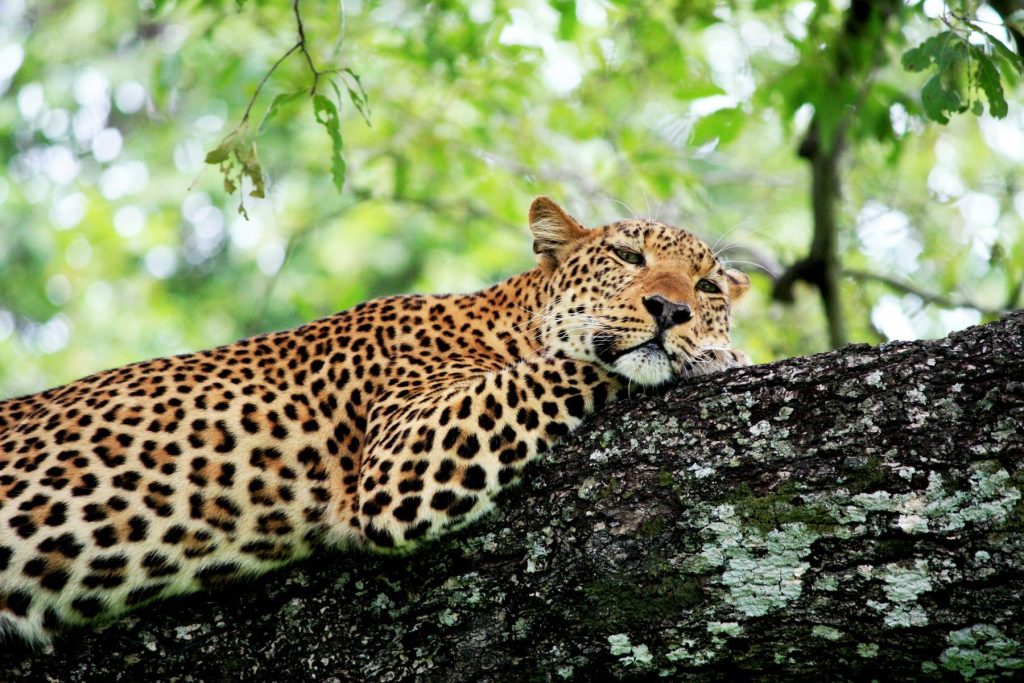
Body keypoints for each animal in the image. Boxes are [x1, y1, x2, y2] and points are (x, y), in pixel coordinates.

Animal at [0, 196, 750, 644]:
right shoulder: (406, 454)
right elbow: (567, 368)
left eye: (708, 285)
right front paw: (720, 355)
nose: (673, 311)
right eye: (627, 256)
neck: (504, 320)